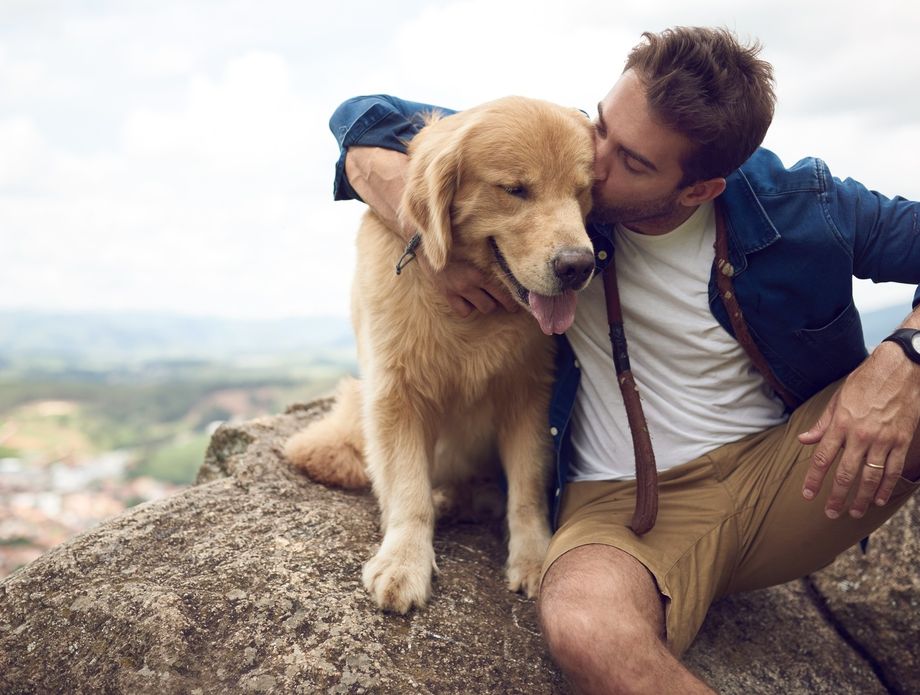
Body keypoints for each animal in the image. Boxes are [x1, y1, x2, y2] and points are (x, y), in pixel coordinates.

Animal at [288, 98, 596, 616]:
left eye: (582, 191)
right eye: (515, 190)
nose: (579, 267)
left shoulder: (530, 391)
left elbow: (528, 489)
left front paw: (534, 558)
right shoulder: (396, 392)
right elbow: (408, 489)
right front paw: (404, 561)